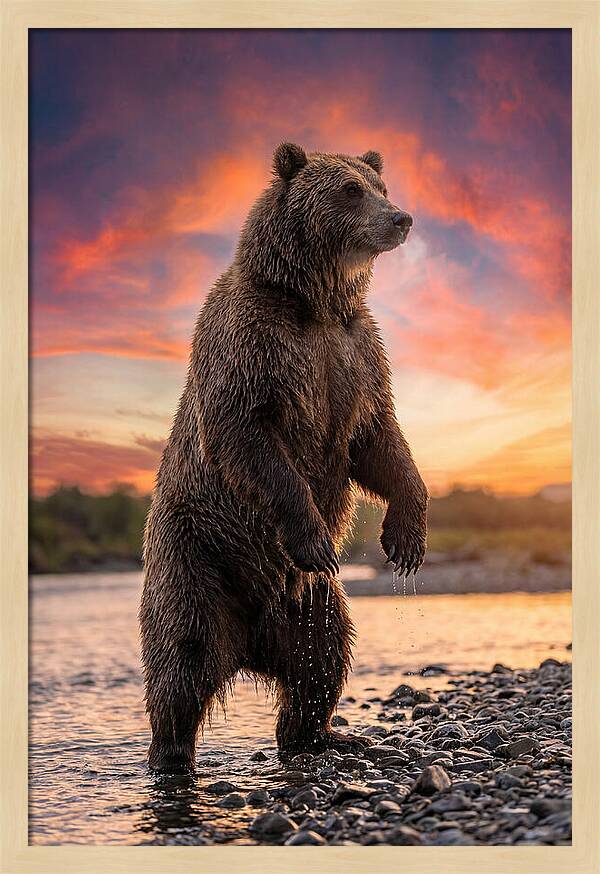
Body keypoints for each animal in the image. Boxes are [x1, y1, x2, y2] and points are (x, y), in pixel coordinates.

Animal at [139, 143, 428, 773]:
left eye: (381, 185)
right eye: (349, 190)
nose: (401, 219)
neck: (314, 302)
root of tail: (249, 643)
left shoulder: (356, 354)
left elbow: (378, 440)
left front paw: (405, 539)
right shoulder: (255, 345)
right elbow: (249, 437)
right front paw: (316, 537)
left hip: (309, 603)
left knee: (323, 655)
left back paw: (323, 735)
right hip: (197, 557)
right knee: (183, 659)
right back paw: (171, 756)